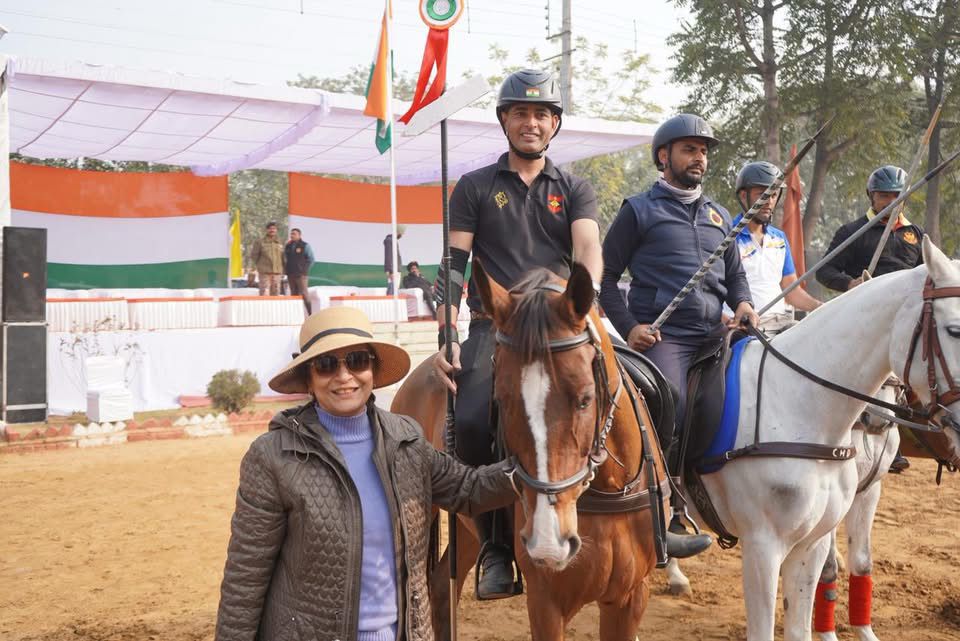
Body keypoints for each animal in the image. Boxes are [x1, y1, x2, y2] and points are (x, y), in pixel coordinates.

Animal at [391, 260, 672, 641]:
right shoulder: (546, 602)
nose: (549, 541)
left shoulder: (630, 597)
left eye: (585, 398)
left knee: (440, 587)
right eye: (500, 400)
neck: (609, 487)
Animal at [671, 236, 960, 641]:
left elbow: (843, 578)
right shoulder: (762, 546)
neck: (799, 403)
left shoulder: (820, 534)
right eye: (954, 330)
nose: (877, 420)